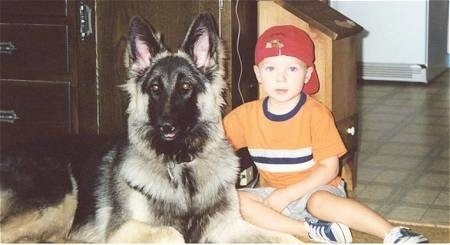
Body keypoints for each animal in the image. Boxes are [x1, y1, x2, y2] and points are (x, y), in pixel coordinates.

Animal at [0, 13, 302, 243]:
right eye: (155, 88)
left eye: (185, 87)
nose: (166, 126)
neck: (181, 168)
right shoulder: (122, 231)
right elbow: (172, 232)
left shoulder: (230, 227)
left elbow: (286, 236)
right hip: (59, 200)